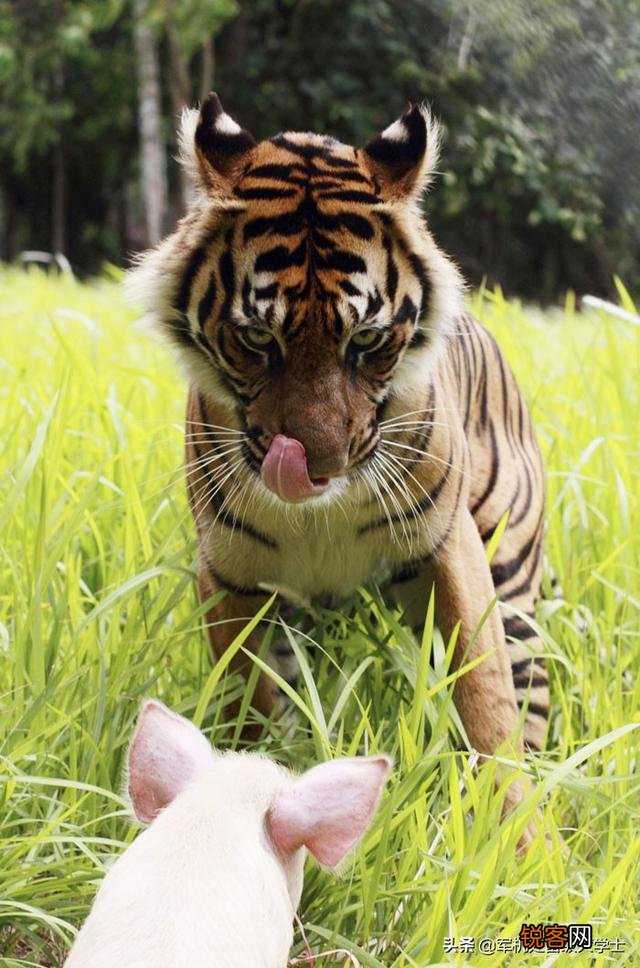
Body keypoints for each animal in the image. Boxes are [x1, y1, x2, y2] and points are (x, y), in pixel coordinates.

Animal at [127, 92, 547, 837]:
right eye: (256, 339)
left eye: (368, 341)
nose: (314, 467)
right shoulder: (230, 574)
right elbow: (247, 697)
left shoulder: (449, 549)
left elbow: (486, 700)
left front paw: (517, 839)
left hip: (515, 580)